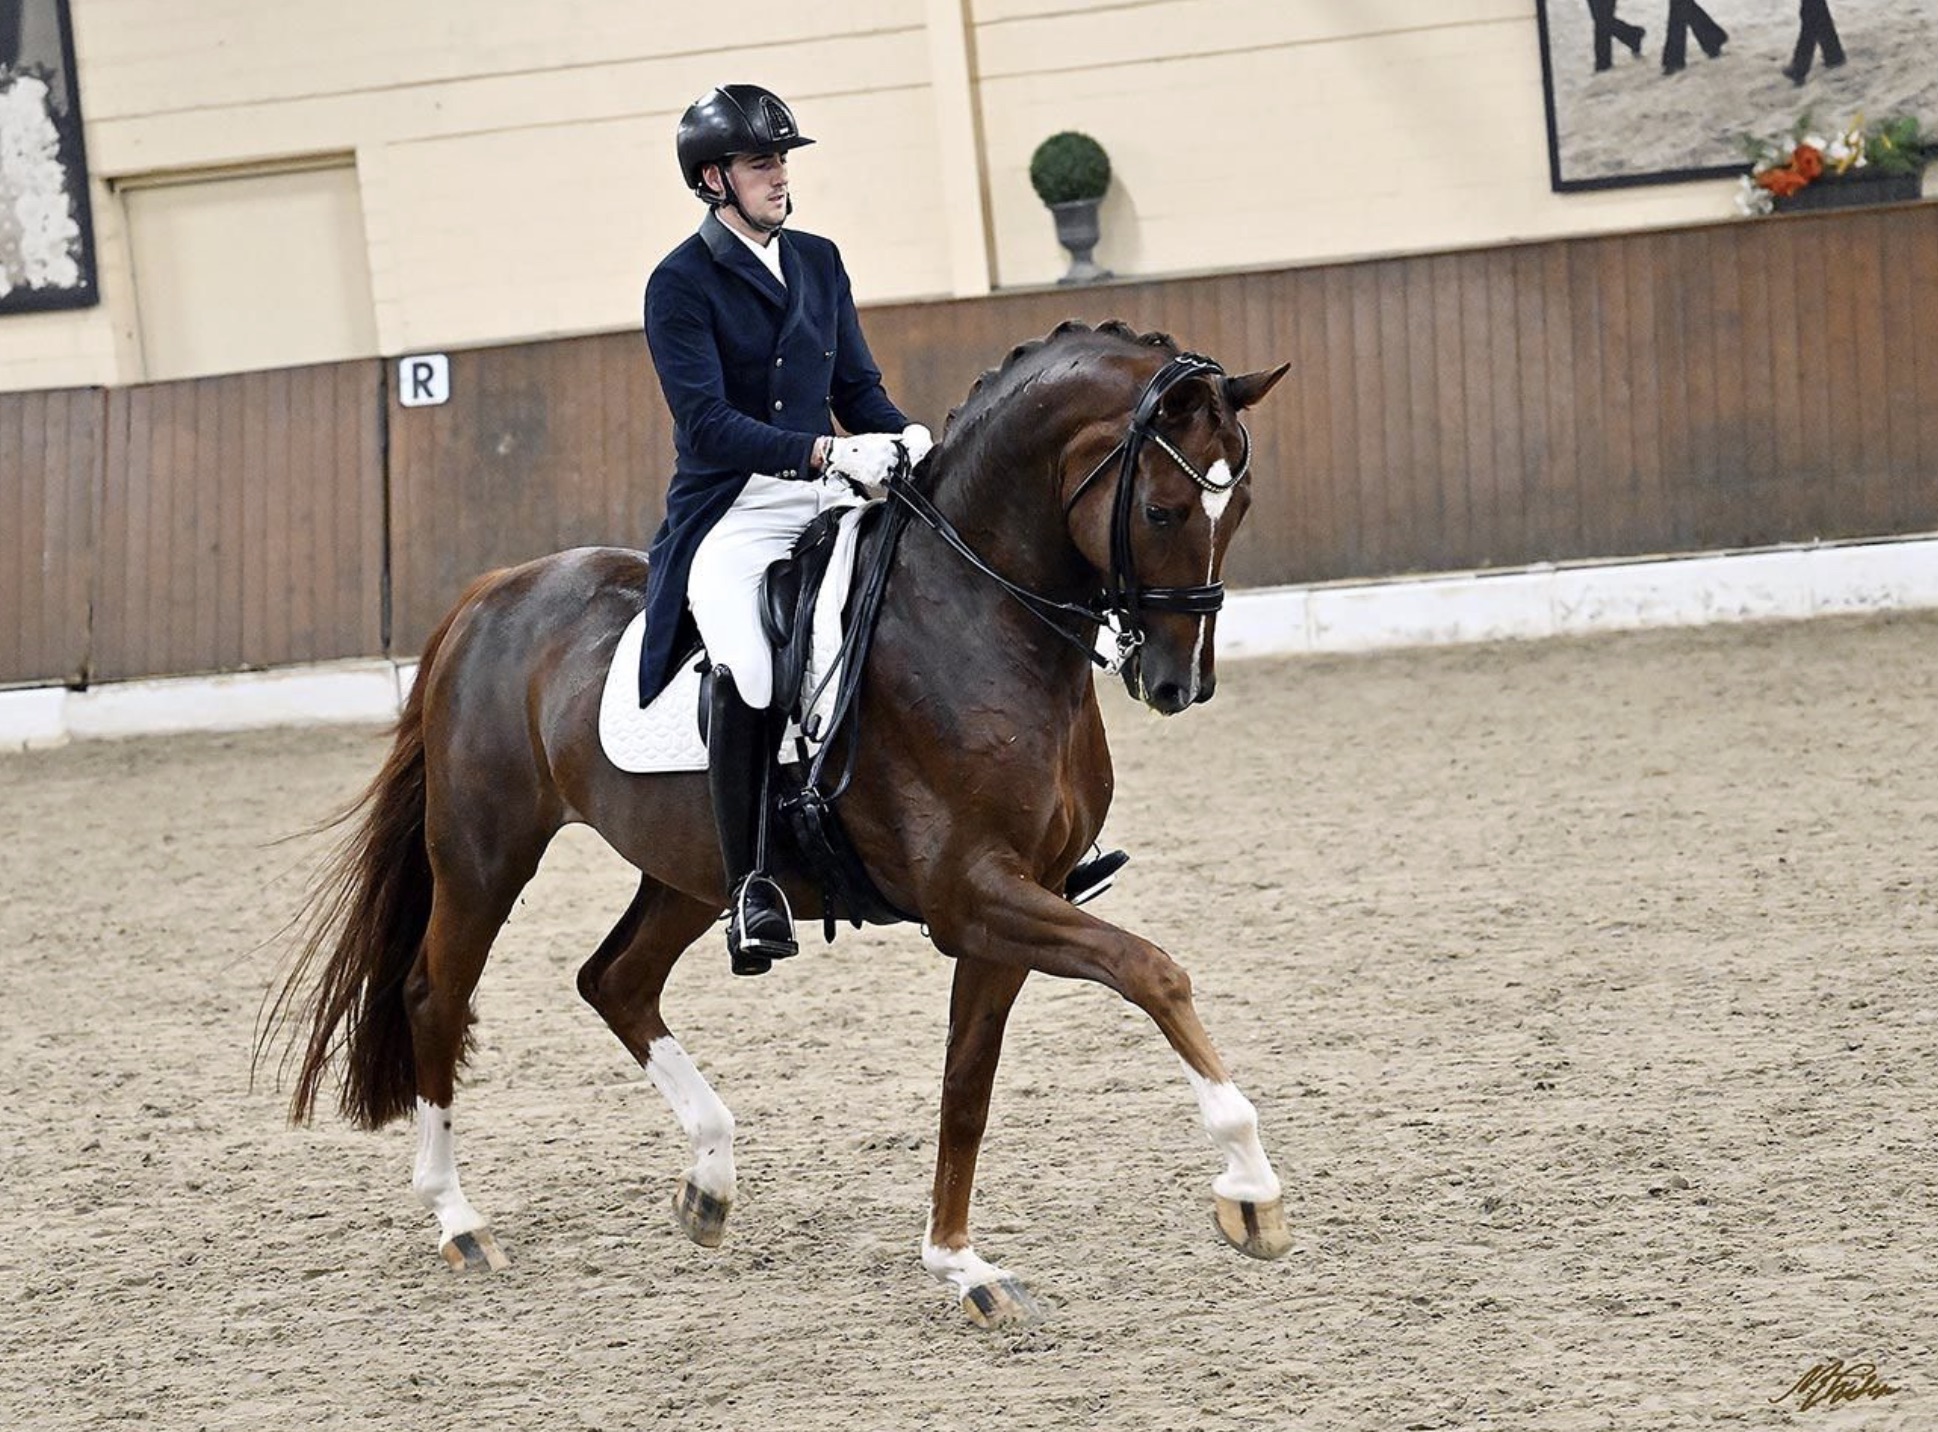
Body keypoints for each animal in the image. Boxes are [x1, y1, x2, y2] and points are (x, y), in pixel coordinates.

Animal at [261, 319, 1286, 1325]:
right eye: (1163, 511)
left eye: (1238, 509)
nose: (1178, 684)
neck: (976, 618)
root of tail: (495, 591)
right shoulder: (974, 895)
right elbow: (1151, 972)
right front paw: (1250, 1187)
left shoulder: (1009, 905)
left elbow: (967, 1086)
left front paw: (958, 1263)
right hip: (485, 855)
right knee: (436, 996)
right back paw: (459, 1220)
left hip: (688, 870)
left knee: (615, 981)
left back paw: (709, 1180)